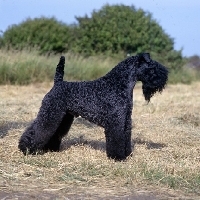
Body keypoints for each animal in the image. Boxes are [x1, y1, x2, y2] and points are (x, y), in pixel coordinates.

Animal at [19, 53, 168, 161]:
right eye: (152, 67)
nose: (165, 77)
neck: (118, 84)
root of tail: (58, 83)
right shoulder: (116, 121)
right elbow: (117, 138)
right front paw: (118, 157)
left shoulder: (126, 120)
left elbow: (126, 137)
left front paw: (127, 154)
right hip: (51, 113)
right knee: (38, 130)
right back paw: (26, 148)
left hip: (63, 116)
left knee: (55, 132)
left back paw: (50, 148)